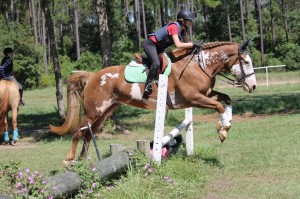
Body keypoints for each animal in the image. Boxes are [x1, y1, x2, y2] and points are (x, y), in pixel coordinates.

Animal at [50, 40, 256, 162]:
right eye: (246, 62)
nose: (253, 86)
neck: (199, 65)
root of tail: (92, 76)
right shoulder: (194, 98)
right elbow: (219, 105)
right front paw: (223, 130)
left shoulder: (205, 94)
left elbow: (225, 99)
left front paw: (227, 124)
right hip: (94, 111)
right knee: (78, 132)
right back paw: (69, 160)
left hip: (105, 112)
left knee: (87, 134)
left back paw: (84, 160)